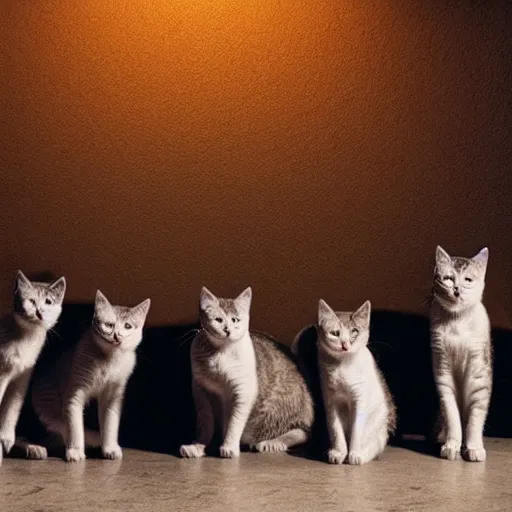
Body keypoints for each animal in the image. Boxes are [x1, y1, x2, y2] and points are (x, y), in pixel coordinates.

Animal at [0, 272, 66, 464]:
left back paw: (33, 448)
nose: (39, 311)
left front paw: (6, 437)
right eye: (31, 301)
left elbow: (12, 407)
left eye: (48, 302)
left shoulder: (23, 377)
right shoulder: (2, 373)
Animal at [25, 290, 150, 462]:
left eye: (128, 326)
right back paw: (36, 449)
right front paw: (75, 450)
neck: (110, 360)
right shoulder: (75, 392)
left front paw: (110, 448)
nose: (117, 335)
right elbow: (74, 426)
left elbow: (110, 423)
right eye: (109, 325)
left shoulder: (114, 395)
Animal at [180, 286, 316, 458]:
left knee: (304, 433)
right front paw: (198, 446)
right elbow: (205, 423)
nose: (227, 330)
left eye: (235, 320)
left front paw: (229, 446)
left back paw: (273, 442)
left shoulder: (243, 391)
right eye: (218, 319)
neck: (219, 354)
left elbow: (234, 422)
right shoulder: (201, 391)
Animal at [314, 300, 394, 464]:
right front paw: (339, 452)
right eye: (335, 333)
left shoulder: (360, 398)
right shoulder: (331, 399)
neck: (343, 365)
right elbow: (335, 429)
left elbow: (357, 430)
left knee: (375, 446)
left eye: (354, 332)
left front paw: (354, 454)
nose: (344, 345)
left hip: (380, 425)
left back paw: (363, 454)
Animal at [430, 246, 494, 462]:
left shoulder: (479, 372)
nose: (456, 289)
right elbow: (452, 417)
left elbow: (475, 419)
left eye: (468, 280)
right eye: (449, 278)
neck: (457, 321)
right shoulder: (443, 369)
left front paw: (474, 448)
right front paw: (451, 445)